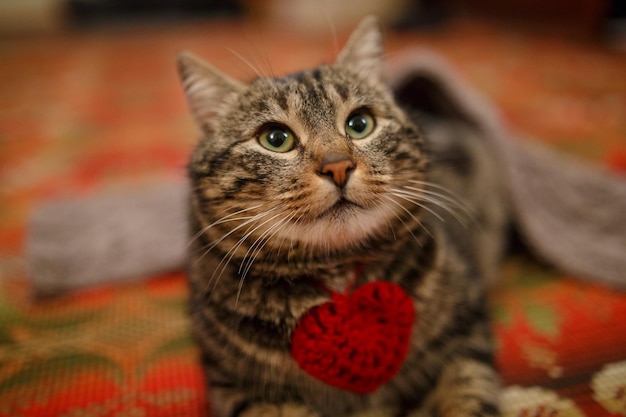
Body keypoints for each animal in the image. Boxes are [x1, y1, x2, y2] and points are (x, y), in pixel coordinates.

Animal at [177, 14, 508, 414]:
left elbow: (469, 396)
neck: (338, 276)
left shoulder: (466, 334)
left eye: (360, 123)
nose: (337, 166)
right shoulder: (239, 389)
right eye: (275, 138)